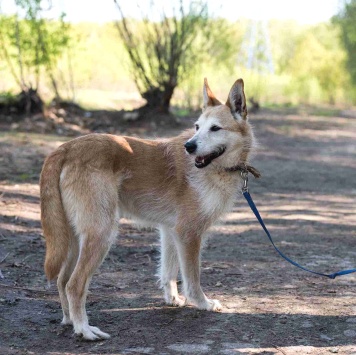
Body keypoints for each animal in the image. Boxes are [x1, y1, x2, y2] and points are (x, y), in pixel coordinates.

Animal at [39, 78, 256, 342]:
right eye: (197, 127)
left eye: (215, 128)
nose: (189, 146)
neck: (215, 169)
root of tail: (65, 148)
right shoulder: (189, 234)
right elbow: (192, 278)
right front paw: (202, 303)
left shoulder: (171, 232)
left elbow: (169, 272)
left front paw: (172, 299)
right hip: (102, 234)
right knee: (75, 284)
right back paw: (84, 329)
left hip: (72, 237)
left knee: (62, 280)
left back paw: (70, 320)